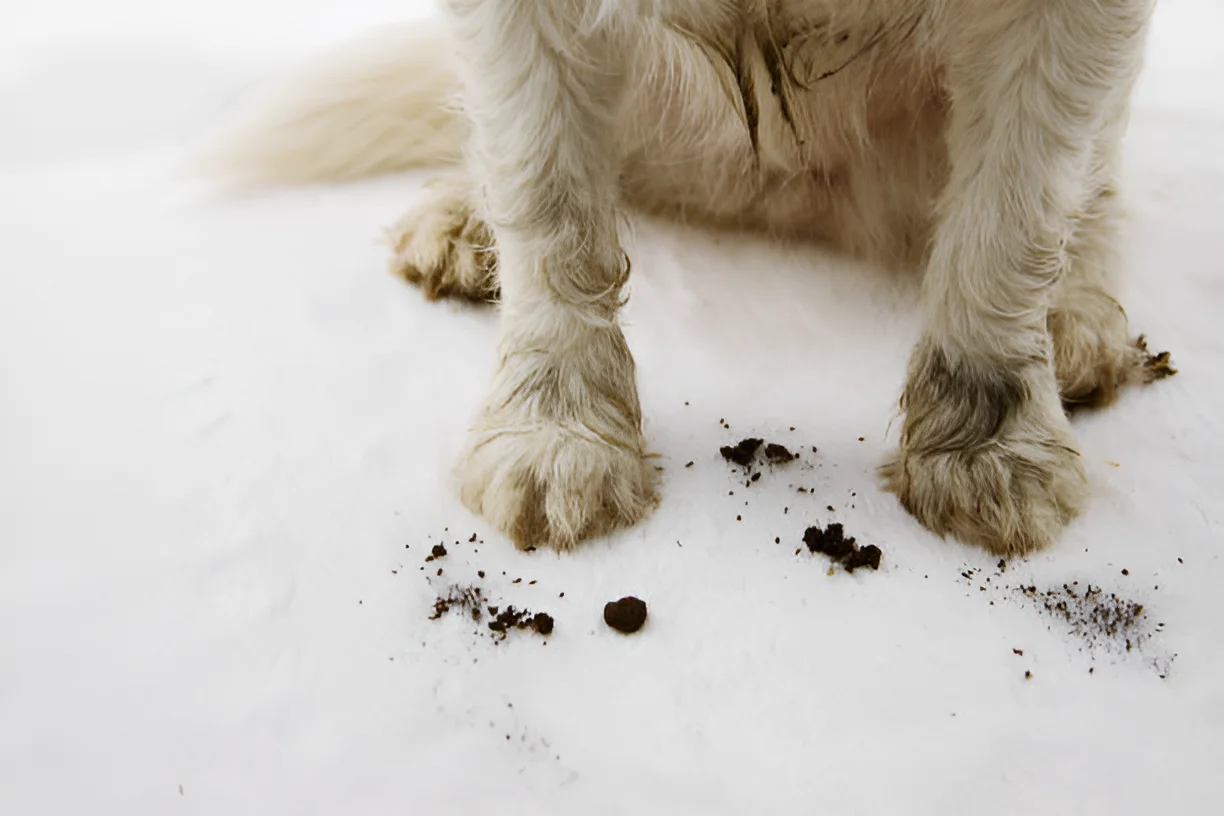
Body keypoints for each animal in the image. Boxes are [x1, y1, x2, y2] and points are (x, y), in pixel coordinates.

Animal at [203, 0, 1175, 555]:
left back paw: (1079, 318)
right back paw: (464, 219)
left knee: (1094, 181)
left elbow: (1013, 213)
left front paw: (989, 447)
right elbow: (545, 193)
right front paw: (555, 434)